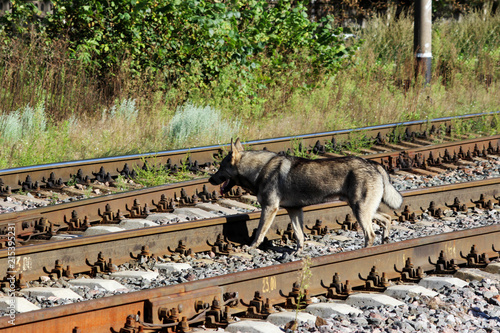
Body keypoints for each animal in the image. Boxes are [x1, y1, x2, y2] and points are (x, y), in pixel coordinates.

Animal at [209, 137, 404, 249]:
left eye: (220, 168)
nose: (210, 180)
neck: (260, 169)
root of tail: (374, 164)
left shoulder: (270, 209)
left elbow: (259, 233)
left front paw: (251, 247)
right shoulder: (294, 210)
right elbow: (299, 235)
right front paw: (298, 252)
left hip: (360, 211)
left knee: (370, 235)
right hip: (363, 210)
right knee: (387, 218)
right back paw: (385, 241)